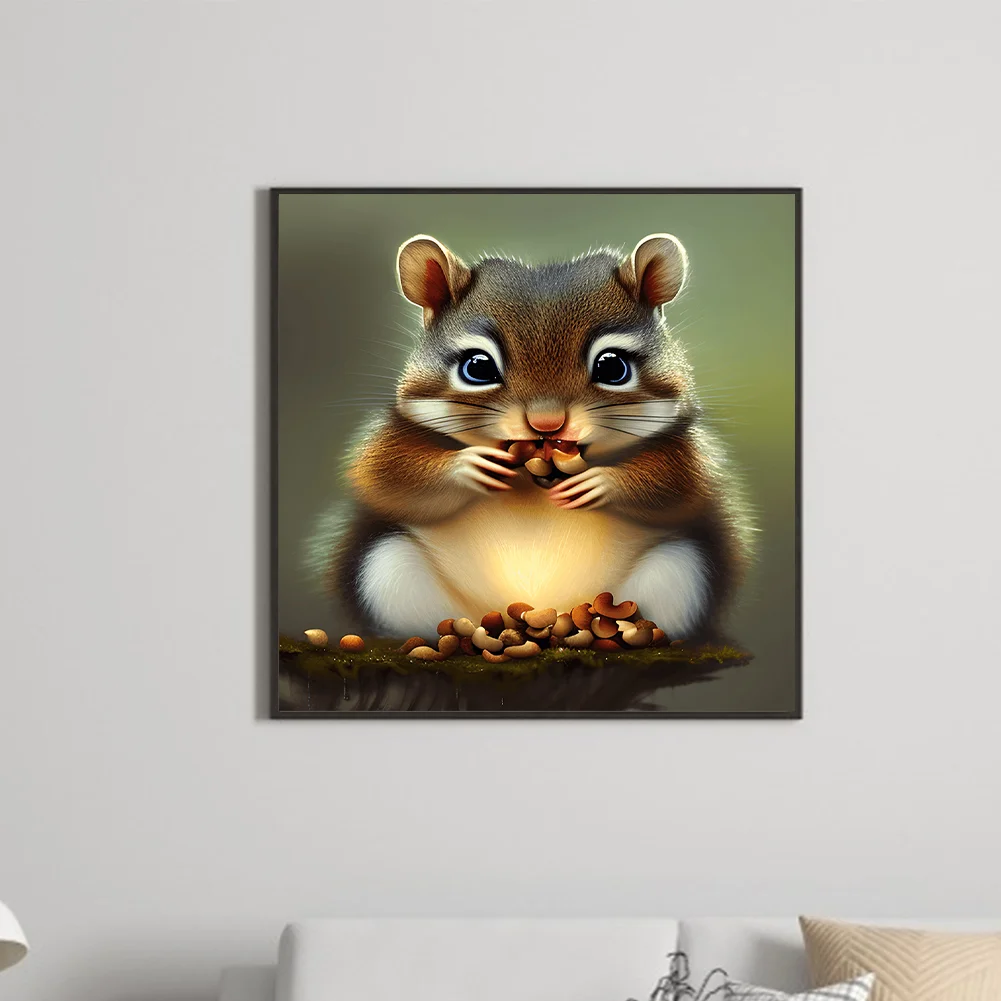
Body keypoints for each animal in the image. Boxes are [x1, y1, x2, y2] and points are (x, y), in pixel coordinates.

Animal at [319, 233, 753, 641]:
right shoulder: (394, 436)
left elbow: (680, 486)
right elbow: (386, 478)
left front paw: (599, 482)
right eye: (477, 367)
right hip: (388, 571)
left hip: (680, 573)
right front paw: (469, 466)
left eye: (613, 367)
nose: (547, 424)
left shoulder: (686, 449)